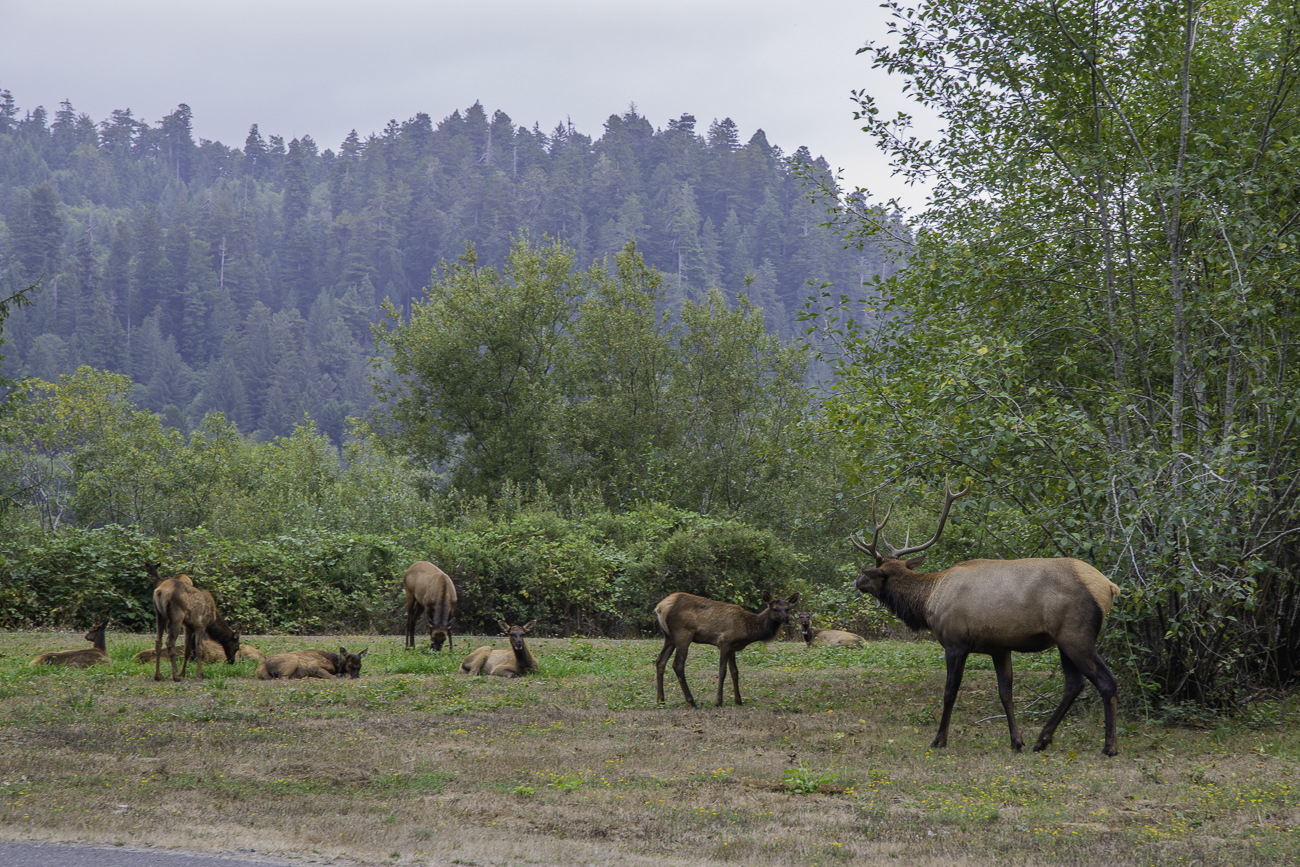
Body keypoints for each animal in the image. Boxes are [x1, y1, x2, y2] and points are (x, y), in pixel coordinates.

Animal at [655, 592, 795, 707]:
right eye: (775, 608)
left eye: (787, 609)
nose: (786, 618)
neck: (750, 630)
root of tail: (660, 607)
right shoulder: (725, 642)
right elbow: (722, 671)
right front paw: (719, 701)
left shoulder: (732, 648)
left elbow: (735, 672)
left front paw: (738, 700)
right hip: (683, 633)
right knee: (677, 664)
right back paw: (691, 702)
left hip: (669, 637)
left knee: (660, 661)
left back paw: (661, 700)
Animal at [852, 480, 1118, 759]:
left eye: (872, 573)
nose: (857, 581)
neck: (928, 602)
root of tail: (1110, 587)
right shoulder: (999, 648)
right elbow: (1005, 693)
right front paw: (1016, 741)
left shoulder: (955, 644)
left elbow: (950, 692)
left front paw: (939, 740)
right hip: (1064, 640)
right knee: (1074, 684)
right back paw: (1041, 740)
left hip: (1076, 634)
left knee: (1106, 681)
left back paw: (1109, 746)